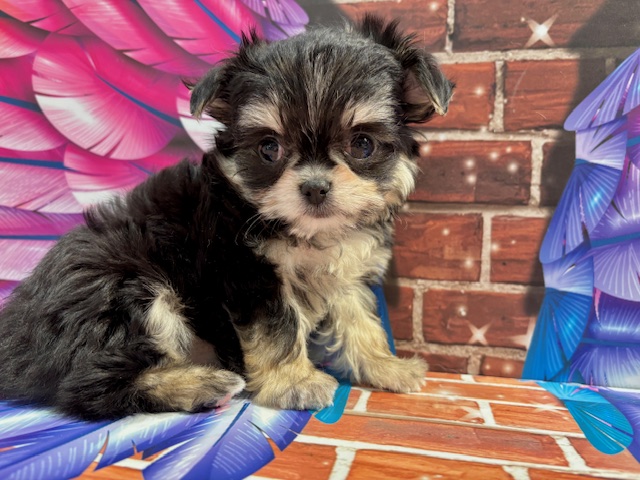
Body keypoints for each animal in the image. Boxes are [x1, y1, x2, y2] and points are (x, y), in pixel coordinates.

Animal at [0, 15, 453, 420]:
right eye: (269, 148)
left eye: (362, 145)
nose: (314, 187)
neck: (305, 234)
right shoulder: (247, 270)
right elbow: (278, 326)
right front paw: (294, 382)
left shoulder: (345, 272)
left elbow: (359, 317)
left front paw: (384, 365)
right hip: (123, 290)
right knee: (91, 383)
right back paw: (201, 384)